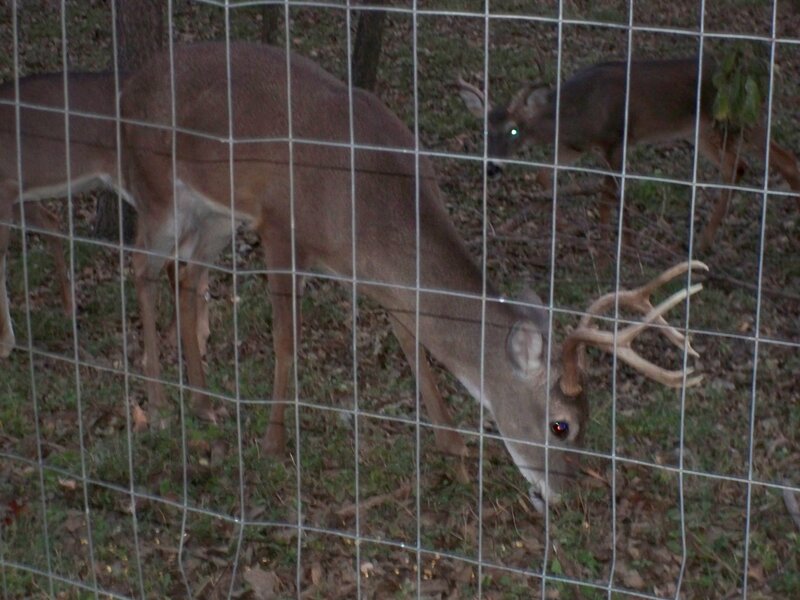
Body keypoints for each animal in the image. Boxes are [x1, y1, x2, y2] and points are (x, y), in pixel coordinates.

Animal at [120, 42, 706, 509]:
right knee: (142, 265)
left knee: (185, 274)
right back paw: (158, 402)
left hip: (216, 210)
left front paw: (454, 447)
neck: (367, 209)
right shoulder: (281, 228)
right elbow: (287, 342)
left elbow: (413, 341)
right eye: (562, 424)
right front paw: (272, 445)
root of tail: (133, 80)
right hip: (159, 187)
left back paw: (203, 402)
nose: (563, 492)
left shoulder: (371, 274)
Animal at [457, 57, 800, 250]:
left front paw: (610, 241)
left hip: (733, 121)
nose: (492, 167)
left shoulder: (615, 140)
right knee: (746, 164)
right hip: (701, 131)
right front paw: (572, 228)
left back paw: (705, 242)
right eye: (485, 131)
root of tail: (753, 80)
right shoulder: (578, 146)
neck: (573, 116)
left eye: (514, 131)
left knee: (770, 160)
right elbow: (545, 175)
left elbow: (609, 193)